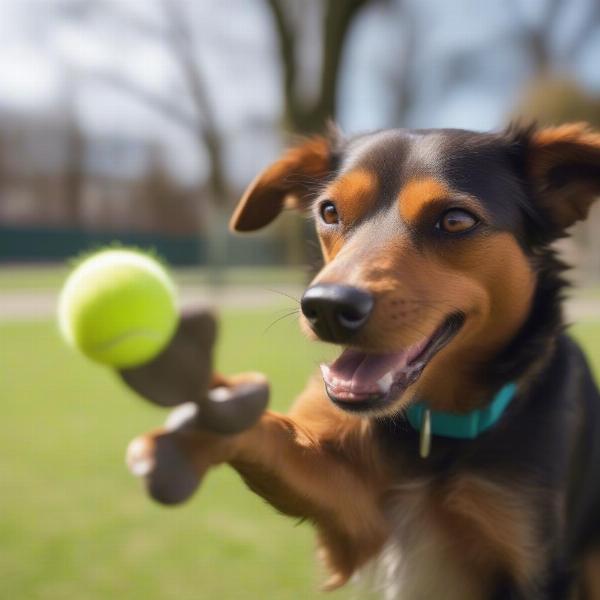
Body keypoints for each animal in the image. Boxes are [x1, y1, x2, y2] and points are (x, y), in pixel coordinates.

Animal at [123, 124, 600, 596]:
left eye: (456, 220)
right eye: (329, 211)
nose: (327, 307)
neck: (433, 431)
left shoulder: (535, 563)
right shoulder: (356, 516)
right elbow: (273, 433)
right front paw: (202, 428)